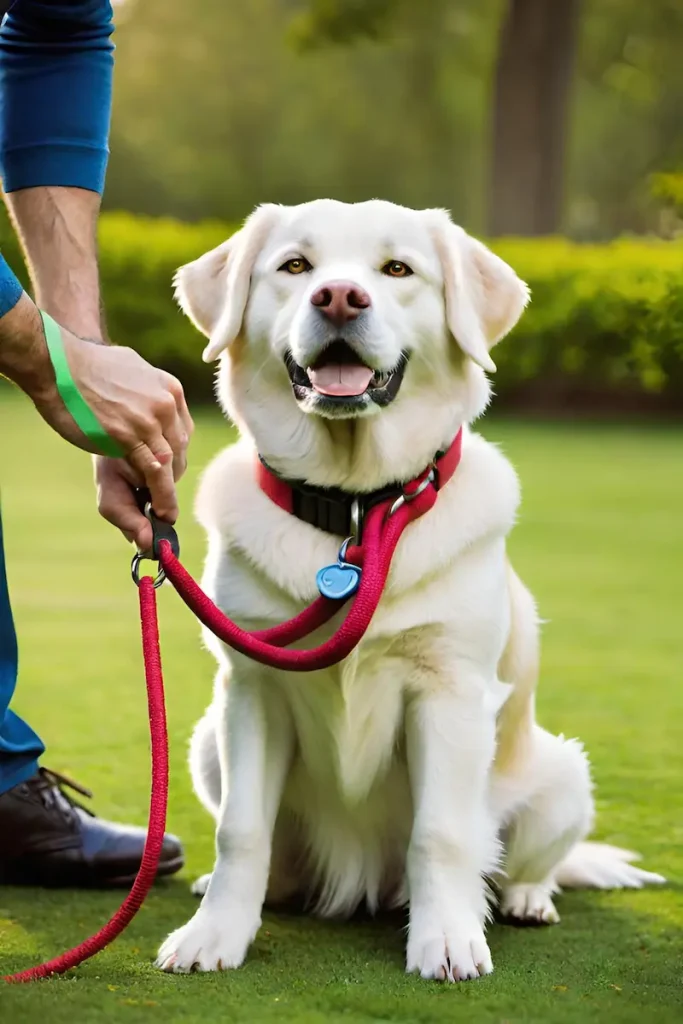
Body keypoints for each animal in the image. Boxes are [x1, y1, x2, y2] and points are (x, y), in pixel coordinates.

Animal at [158, 201, 663, 983]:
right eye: (295, 266)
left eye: (397, 269)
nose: (339, 297)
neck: (357, 512)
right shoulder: (252, 691)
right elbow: (241, 830)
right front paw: (215, 935)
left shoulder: (447, 692)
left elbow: (442, 835)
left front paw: (447, 942)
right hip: (209, 741)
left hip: (560, 776)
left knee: (526, 862)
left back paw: (524, 898)